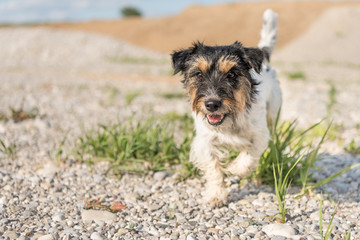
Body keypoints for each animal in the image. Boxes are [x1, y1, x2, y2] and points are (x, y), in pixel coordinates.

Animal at [170, 8, 282, 205]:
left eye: (232, 74)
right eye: (198, 74)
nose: (212, 104)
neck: (230, 120)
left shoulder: (260, 135)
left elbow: (249, 155)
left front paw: (235, 168)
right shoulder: (205, 141)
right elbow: (213, 168)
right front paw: (216, 195)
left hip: (274, 114)